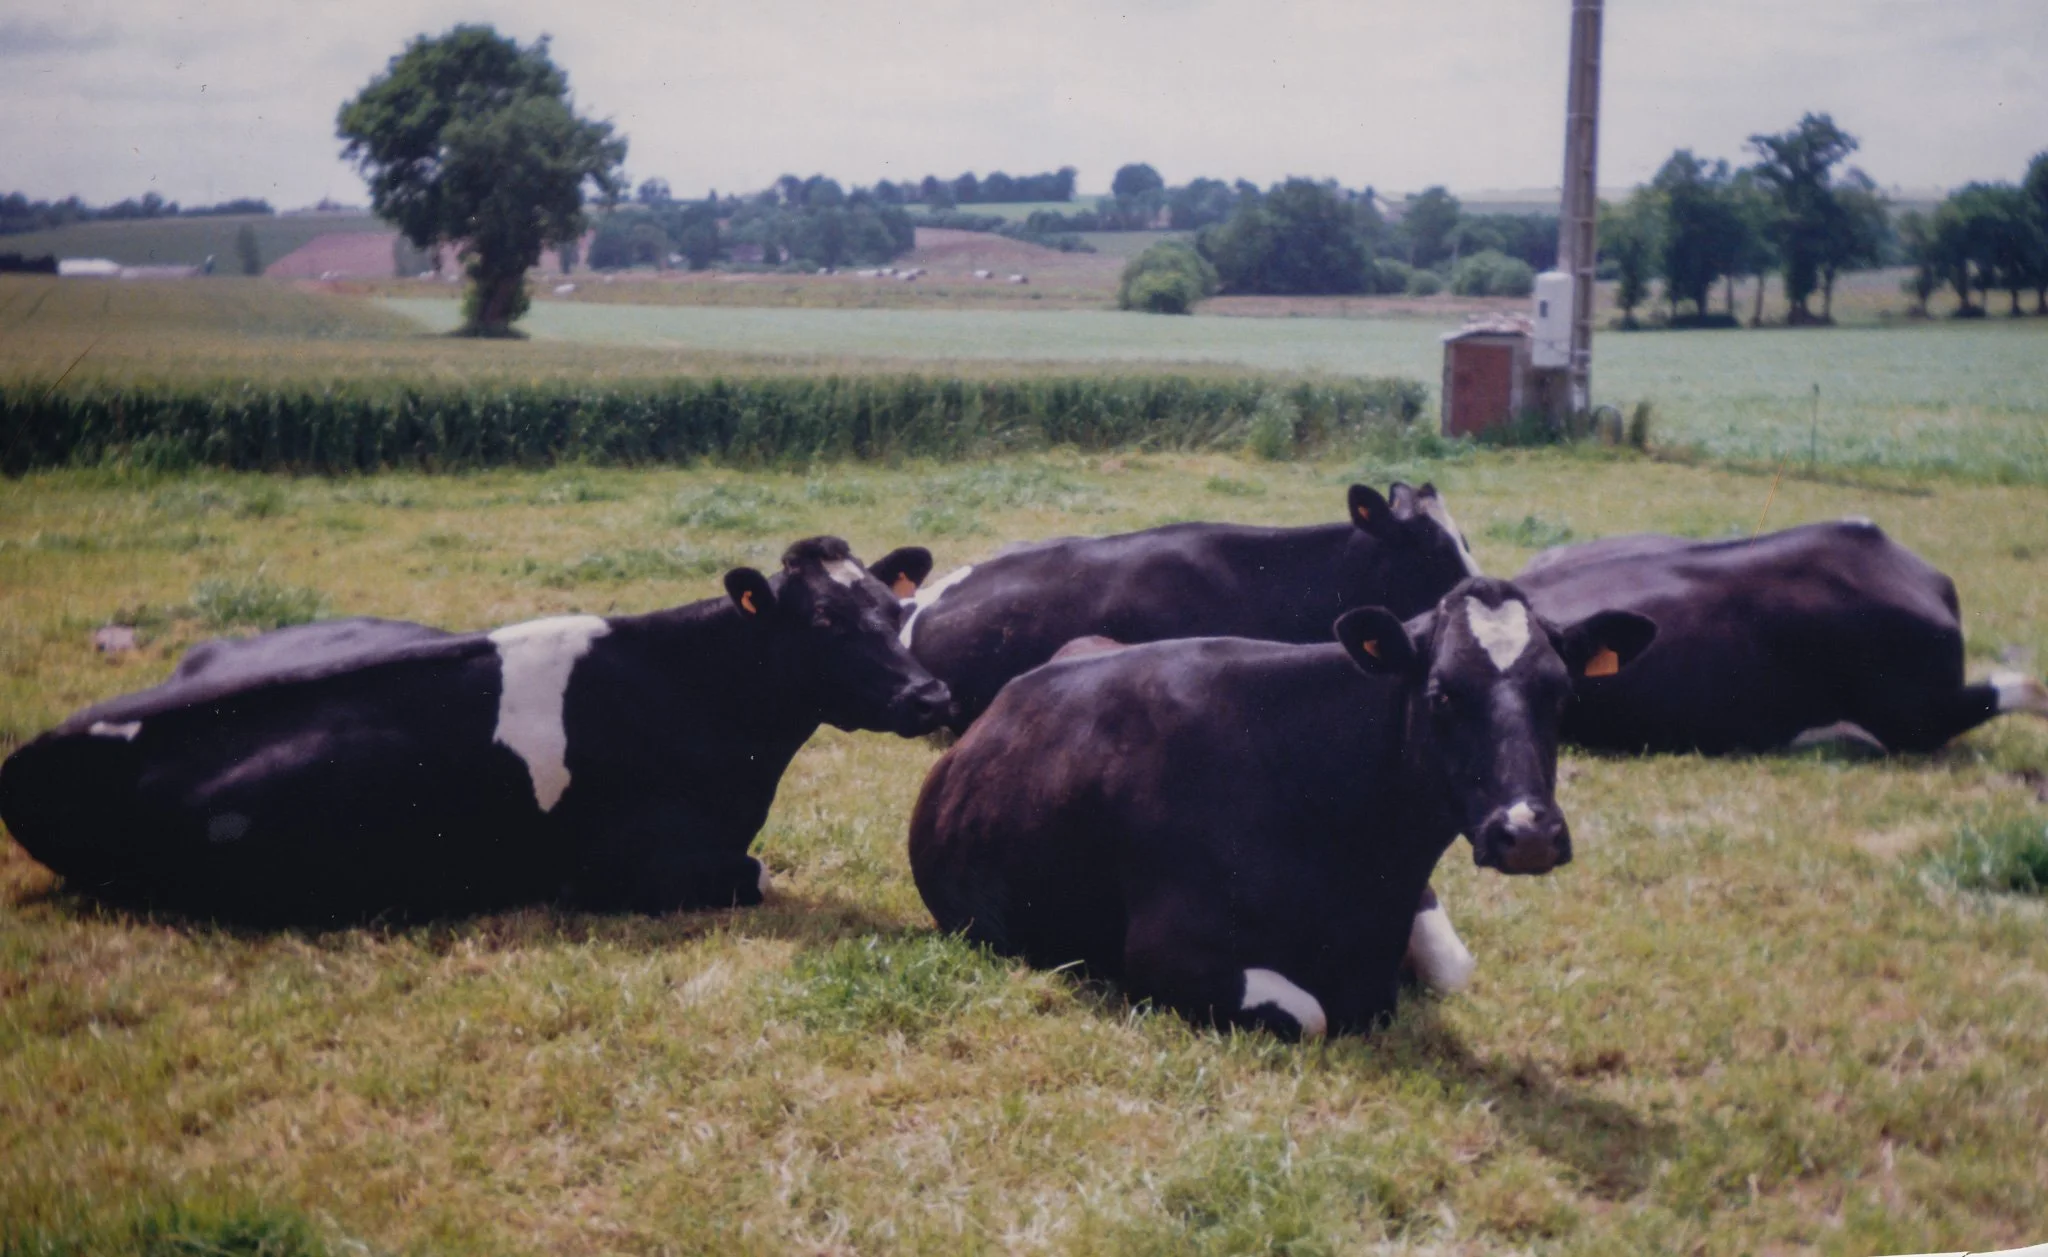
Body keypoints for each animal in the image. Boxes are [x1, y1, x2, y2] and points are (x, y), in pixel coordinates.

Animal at [907, 577, 1657, 1039]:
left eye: (1561, 692)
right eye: (1442, 692)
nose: (1527, 832)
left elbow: (1454, 970)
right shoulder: (1165, 953)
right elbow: (1312, 1015)